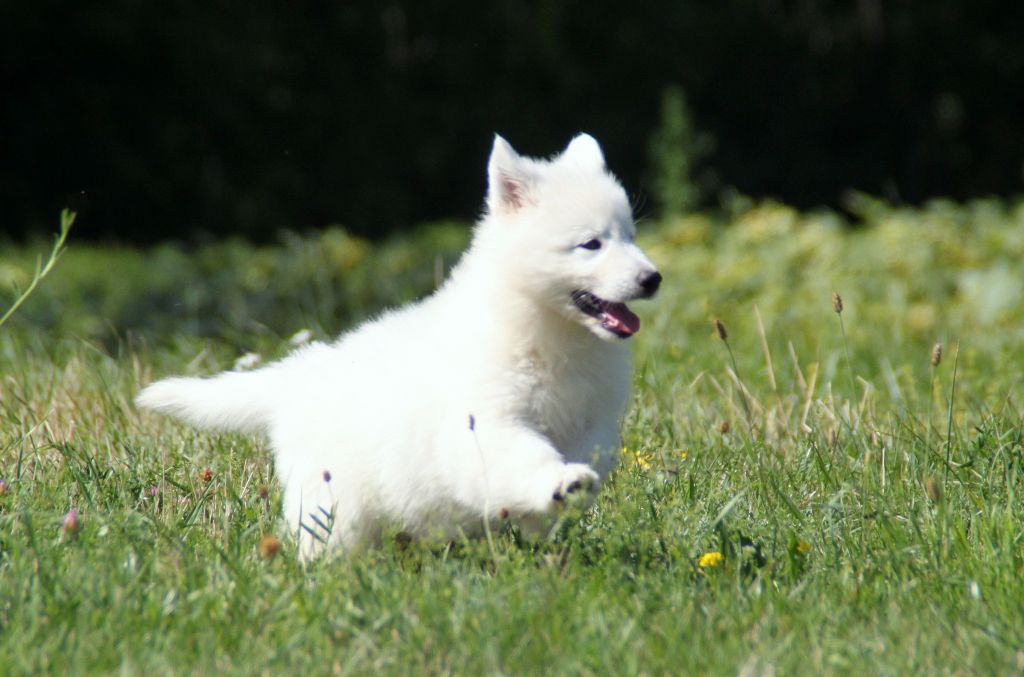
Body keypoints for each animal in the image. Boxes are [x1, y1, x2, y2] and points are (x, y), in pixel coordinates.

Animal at [138, 132, 663, 553]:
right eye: (591, 244)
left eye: (630, 236)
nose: (652, 278)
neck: (550, 333)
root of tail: (299, 375)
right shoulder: (485, 423)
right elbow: (525, 455)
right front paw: (560, 482)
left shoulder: (593, 418)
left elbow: (591, 452)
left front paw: (552, 508)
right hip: (334, 500)